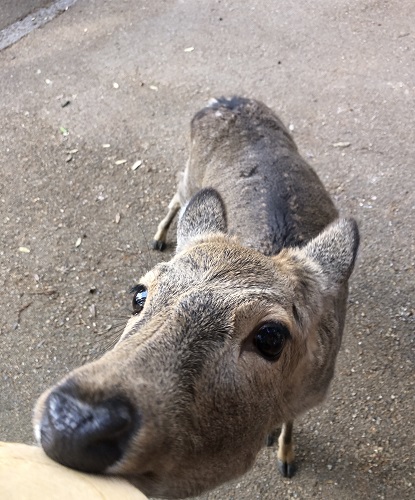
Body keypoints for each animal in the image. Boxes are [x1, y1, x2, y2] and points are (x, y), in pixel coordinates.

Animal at [33, 96, 359, 499]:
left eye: (271, 336)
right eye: (138, 294)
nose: (73, 420)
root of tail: (224, 99)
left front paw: (286, 456)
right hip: (190, 174)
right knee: (178, 195)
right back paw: (159, 236)